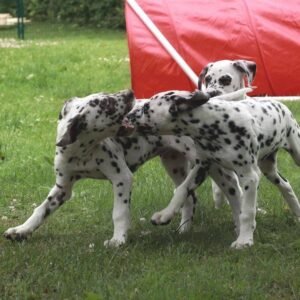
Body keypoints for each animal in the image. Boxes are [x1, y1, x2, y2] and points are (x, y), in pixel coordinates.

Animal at [121, 89, 300, 248]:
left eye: (146, 108)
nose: (127, 116)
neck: (214, 124)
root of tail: (280, 104)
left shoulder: (249, 176)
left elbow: (247, 212)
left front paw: (244, 241)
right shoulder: (203, 165)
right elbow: (182, 189)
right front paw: (164, 215)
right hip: (268, 168)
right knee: (285, 184)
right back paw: (297, 212)